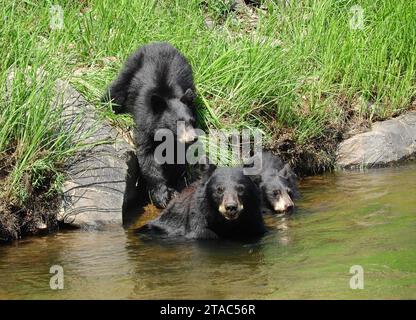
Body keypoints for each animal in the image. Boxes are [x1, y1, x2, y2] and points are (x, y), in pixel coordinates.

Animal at [102, 42, 197, 208]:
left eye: (192, 121)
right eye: (177, 123)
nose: (193, 138)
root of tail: (159, 43)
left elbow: (176, 158)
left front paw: (173, 188)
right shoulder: (144, 124)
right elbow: (147, 156)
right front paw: (161, 195)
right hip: (132, 66)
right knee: (117, 89)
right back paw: (106, 105)